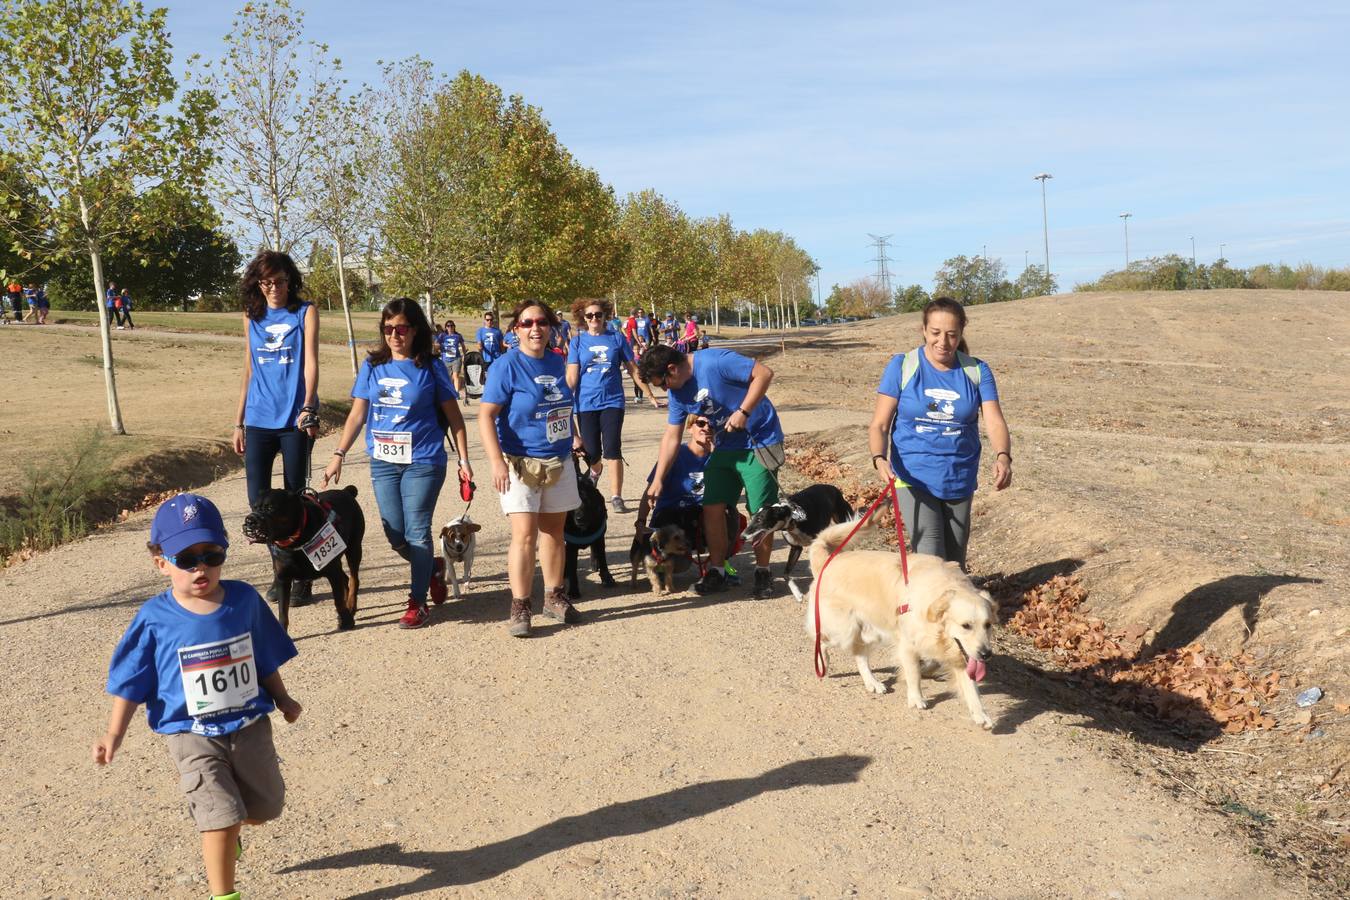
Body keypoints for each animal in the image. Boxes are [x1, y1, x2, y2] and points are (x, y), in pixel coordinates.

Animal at [243, 485, 367, 634]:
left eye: (270, 507)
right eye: (254, 507)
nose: (250, 520)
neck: (295, 542)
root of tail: (345, 491)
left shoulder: (332, 571)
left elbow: (337, 600)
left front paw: (346, 621)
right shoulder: (283, 579)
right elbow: (283, 611)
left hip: (353, 548)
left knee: (354, 579)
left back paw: (351, 605)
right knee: (346, 579)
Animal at [564, 458, 618, 599]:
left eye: (588, 501)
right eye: (573, 505)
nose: (579, 518)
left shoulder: (599, 537)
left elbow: (603, 560)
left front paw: (607, 579)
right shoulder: (570, 547)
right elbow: (572, 570)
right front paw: (573, 591)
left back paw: (594, 564)